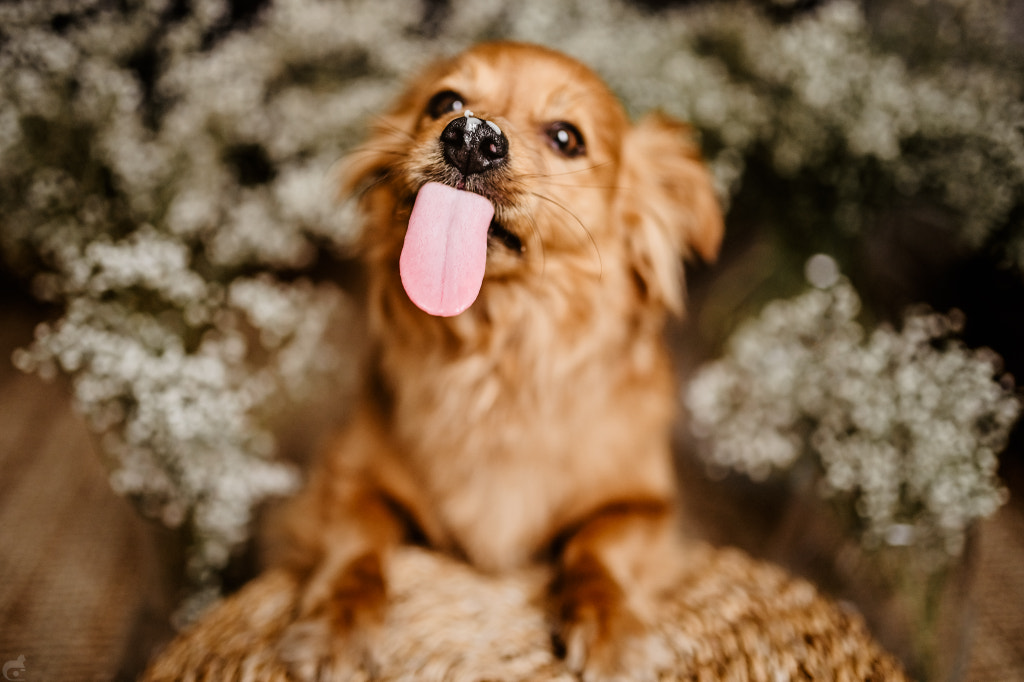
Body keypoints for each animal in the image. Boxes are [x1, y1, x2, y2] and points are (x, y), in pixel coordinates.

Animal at [268, 39, 724, 675]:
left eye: (566, 137)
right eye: (445, 102)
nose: (471, 134)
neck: (494, 356)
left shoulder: (645, 505)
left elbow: (600, 549)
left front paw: (610, 623)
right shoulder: (345, 476)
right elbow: (356, 540)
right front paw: (338, 618)